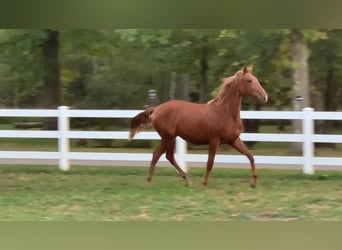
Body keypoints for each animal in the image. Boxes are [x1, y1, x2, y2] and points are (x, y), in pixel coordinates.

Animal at [130, 66, 268, 188]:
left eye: (256, 79)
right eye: (249, 80)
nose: (265, 97)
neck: (225, 113)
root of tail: (156, 109)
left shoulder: (233, 140)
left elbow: (250, 156)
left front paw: (253, 183)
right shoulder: (214, 141)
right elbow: (210, 163)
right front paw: (204, 184)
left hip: (168, 138)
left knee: (157, 155)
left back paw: (152, 182)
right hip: (168, 137)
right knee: (168, 156)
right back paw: (185, 181)